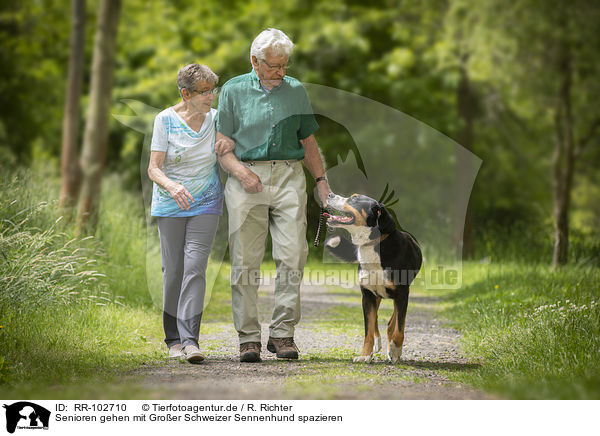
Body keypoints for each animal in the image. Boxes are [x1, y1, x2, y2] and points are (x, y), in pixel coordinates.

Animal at [324, 194, 422, 364]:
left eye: (354, 198)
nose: (329, 194)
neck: (373, 245)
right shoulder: (367, 295)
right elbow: (368, 330)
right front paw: (365, 355)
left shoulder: (402, 294)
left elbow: (399, 328)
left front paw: (395, 350)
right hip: (375, 296)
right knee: (376, 319)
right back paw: (378, 344)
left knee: (391, 323)